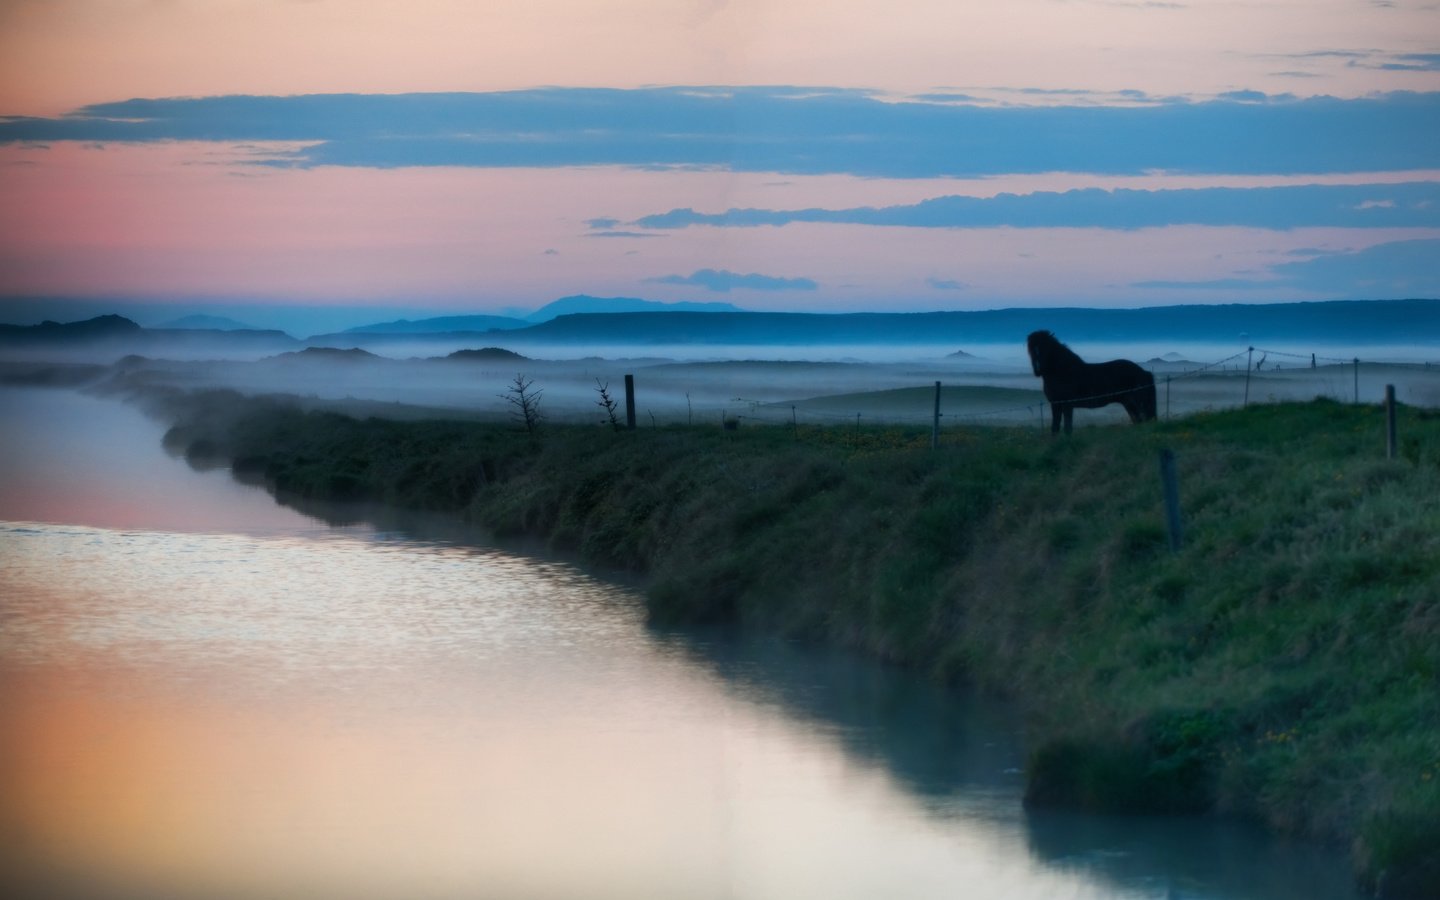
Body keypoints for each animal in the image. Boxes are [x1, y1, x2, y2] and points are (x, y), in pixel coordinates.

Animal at [1025, 329, 1157, 434]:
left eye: (1046, 348)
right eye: (1030, 350)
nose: (1038, 370)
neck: (1062, 371)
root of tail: (1144, 372)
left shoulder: (1067, 405)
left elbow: (1067, 428)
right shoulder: (1056, 404)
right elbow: (1055, 428)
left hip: (1137, 402)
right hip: (1128, 403)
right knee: (1139, 421)